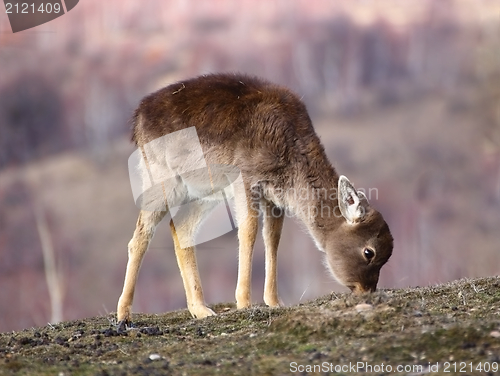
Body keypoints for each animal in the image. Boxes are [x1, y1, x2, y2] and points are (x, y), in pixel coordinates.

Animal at [117, 72, 394, 324]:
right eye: (368, 252)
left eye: (386, 256)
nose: (367, 291)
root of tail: (137, 119)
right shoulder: (246, 179)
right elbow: (248, 231)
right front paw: (244, 302)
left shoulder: (275, 198)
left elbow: (272, 238)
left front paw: (274, 301)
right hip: (161, 177)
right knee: (140, 236)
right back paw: (124, 314)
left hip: (205, 191)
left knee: (181, 227)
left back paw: (200, 309)